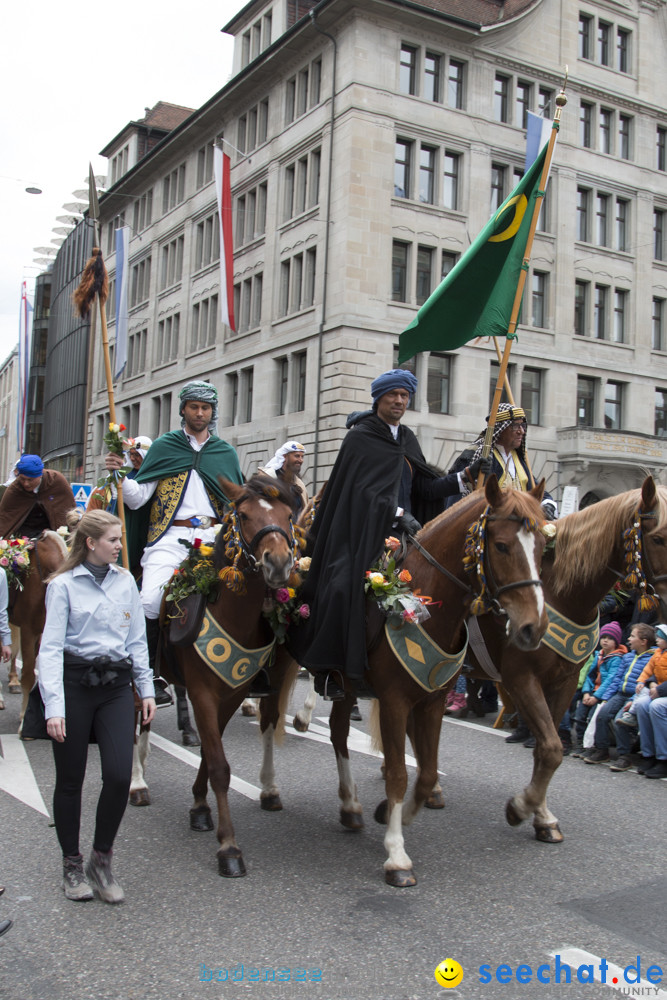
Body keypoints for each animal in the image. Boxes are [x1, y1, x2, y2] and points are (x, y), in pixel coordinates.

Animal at [460, 476, 667, 844]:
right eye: (657, 537)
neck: (562, 593)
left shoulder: (565, 681)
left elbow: (549, 749)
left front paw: (542, 816)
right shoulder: (521, 678)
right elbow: (553, 746)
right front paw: (520, 807)